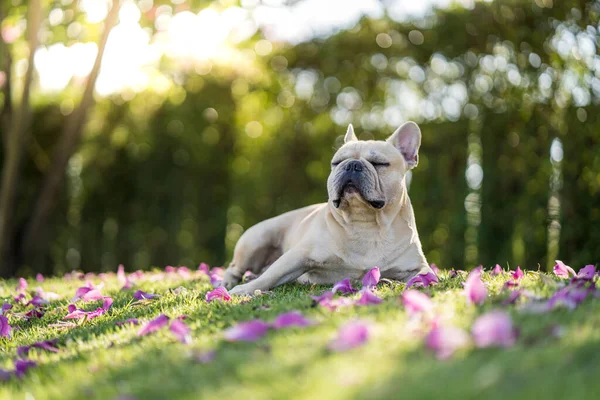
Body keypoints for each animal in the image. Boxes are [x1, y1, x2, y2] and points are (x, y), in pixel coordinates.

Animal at [223, 120, 428, 296]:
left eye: (379, 163)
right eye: (336, 162)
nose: (352, 165)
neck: (366, 223)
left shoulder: (419, 267)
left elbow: (423, 276)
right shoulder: (298, 255)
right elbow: (272, 275)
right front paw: (245, 290)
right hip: (255, 240)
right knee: (235, 269)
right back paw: (229, 283)